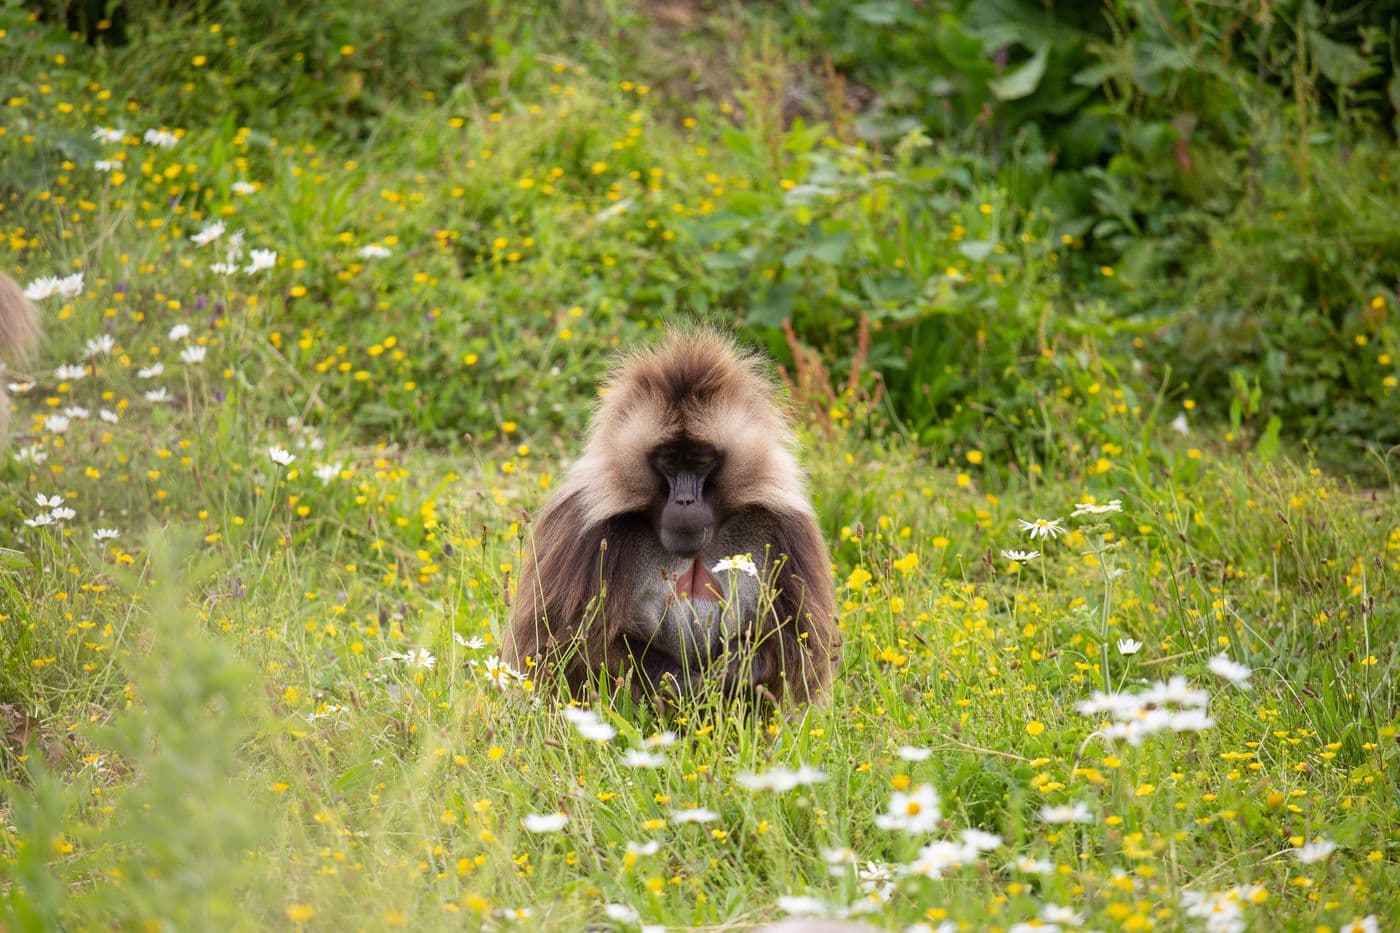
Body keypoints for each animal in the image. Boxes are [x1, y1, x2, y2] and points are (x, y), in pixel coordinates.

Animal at [504, 327, 838, 707]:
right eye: (669, 463)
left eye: (699, 462)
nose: (685, 502)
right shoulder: (581, 536)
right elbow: (562, 651)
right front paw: (684, 682)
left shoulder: (786, 530)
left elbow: (800, 647)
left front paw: (731, 671)